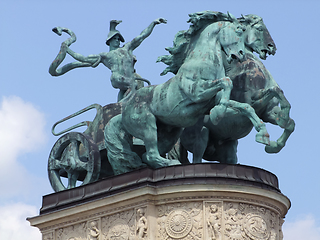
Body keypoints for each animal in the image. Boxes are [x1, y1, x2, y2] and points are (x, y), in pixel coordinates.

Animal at [105, 11, 270, 173]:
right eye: (239, 30)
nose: (241, 54)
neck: (202, 61)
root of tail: (123, 112)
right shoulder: (197, 92)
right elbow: (226, 82)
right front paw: (218, 114)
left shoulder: (212, 101)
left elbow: (245, 106)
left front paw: (263, 135)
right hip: (147, 125)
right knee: (151, 154)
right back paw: (173, 163)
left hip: (169, 133)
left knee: (148, 155)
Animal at [179, 13, 296, 163]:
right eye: (259, 28)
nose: (272, 47)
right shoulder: (252, 101)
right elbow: (271, 93)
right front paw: (265, 136)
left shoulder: (267, 112)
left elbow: (290, 122)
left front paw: (274, 144)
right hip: (201, 137)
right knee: (197, 158)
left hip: (229, 149)